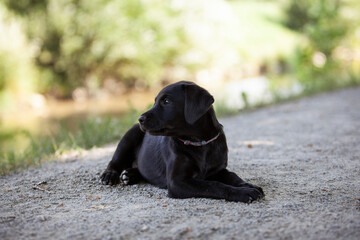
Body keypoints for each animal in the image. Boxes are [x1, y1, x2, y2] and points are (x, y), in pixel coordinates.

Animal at [101, 81, 264, 202]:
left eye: (166, 101)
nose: (140, 119)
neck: (199, 143)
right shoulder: (177, 182)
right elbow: (213, 185)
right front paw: (244, 192)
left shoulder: (218, 170)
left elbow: (233, 176)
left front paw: (249, 185)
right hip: (129, 136)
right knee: (115, 161)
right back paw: (109, 175)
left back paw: (129, 175)